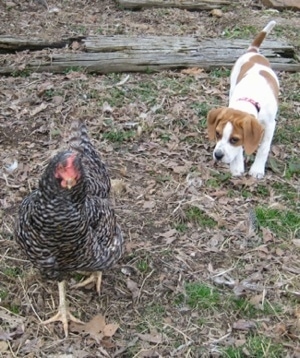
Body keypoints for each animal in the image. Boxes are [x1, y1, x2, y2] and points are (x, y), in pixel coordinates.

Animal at [206, 21, 278, 179]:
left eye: (234, 139)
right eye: (217, 134)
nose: (218, 155)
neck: (249, 99)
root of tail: (253, 51)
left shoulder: (270, 125)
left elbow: (264, 148)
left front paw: (257, 169)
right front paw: (237, 165)